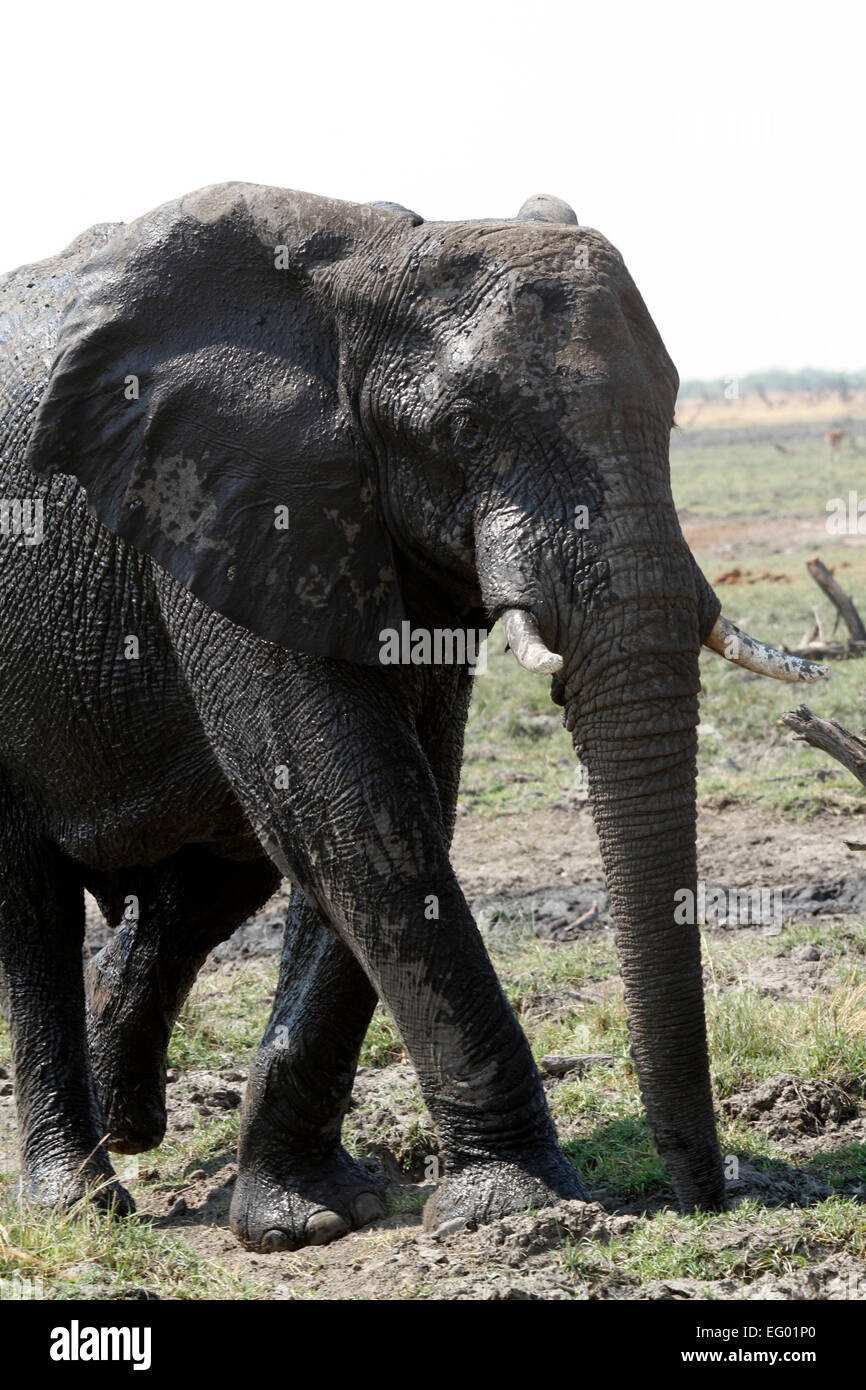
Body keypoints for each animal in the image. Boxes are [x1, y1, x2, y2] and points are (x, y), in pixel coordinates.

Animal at [0, 179, 828, 1256]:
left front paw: (311, 1215)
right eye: (466, 427)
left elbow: (391, 809)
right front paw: (521, 1206)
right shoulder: (221, 497)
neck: (366, 271)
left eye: (675, 410)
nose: (703, 1198)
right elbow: (353, 807)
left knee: (209, 885)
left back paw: (133, 1124)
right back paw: (82, 1197)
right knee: (34, 903)